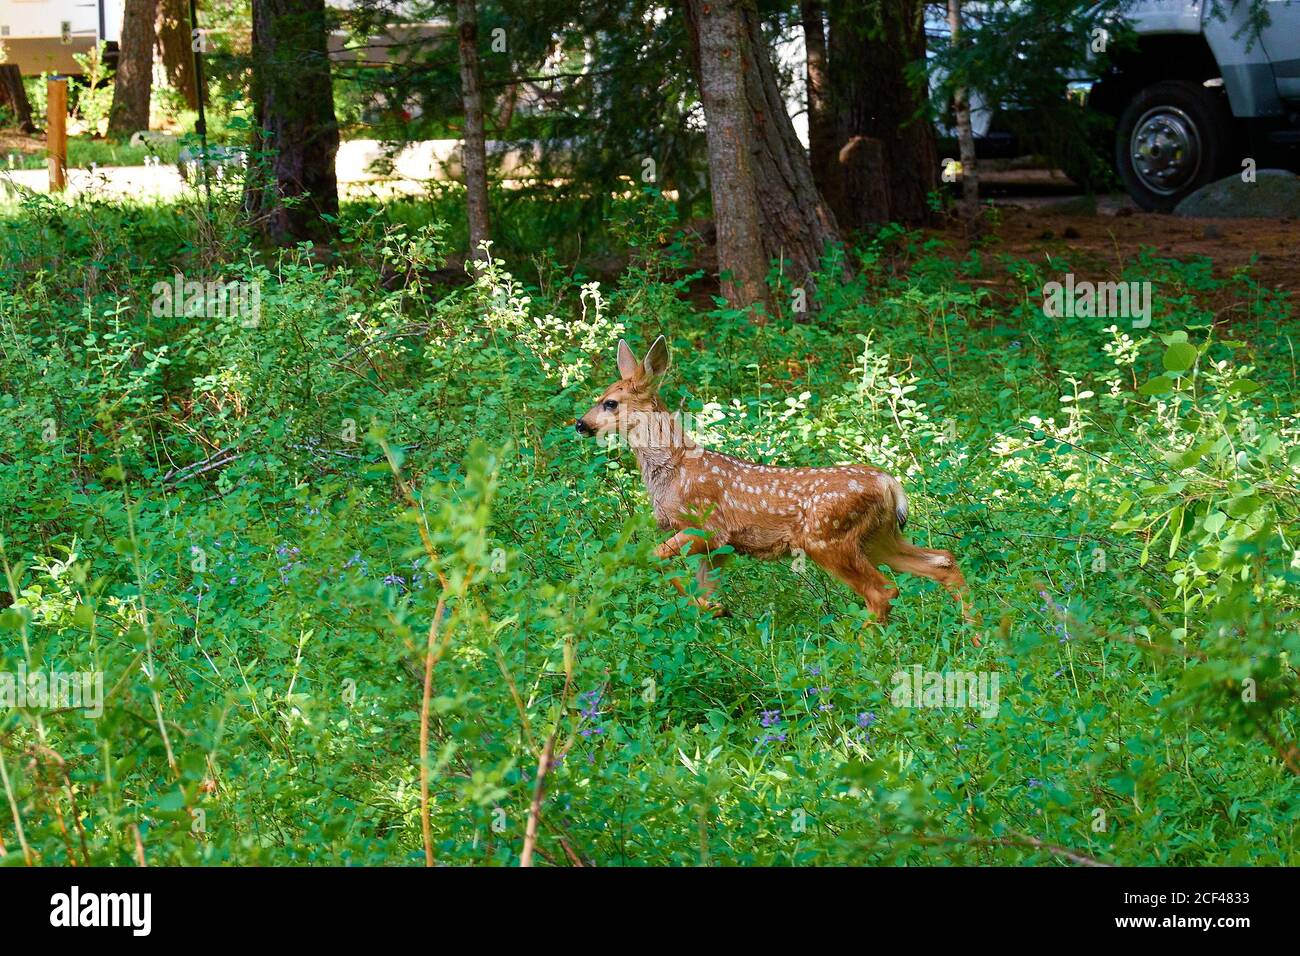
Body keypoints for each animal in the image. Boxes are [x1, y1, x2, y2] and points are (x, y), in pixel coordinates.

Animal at [574, 336, 970, 626]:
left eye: (610, 403)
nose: (580, 424)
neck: (673, 470)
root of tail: (891, 484)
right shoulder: (721, 548)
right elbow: (702, 587)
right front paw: (715, 611)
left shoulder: (708, 528)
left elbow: (649, 558)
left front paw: (714, 609)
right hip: (877, 537)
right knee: (941, 561)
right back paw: (976, 635)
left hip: (828, 538)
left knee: (883, 591)